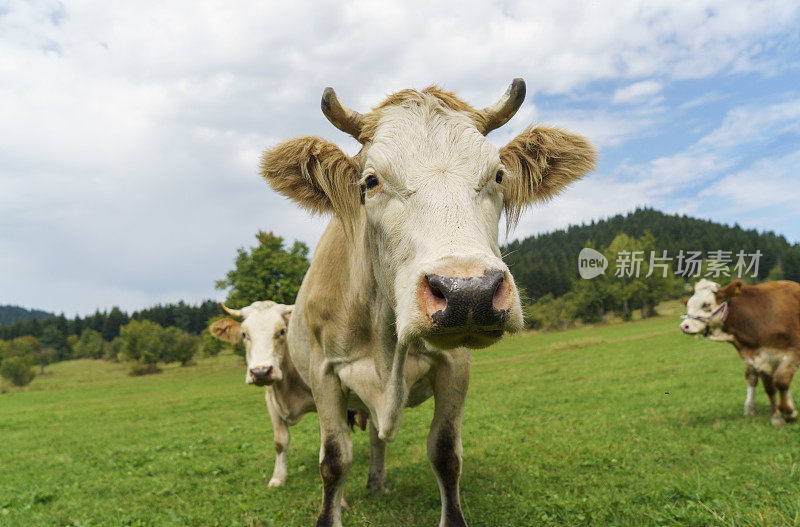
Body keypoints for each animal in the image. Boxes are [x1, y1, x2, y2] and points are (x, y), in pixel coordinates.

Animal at [260, 78, 596, 527]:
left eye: (498, 175)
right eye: (370, 181)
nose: (469, 292)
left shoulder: (456, 366)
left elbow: (445, 454)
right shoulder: (323, 371)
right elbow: (333, 459)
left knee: (377, 439)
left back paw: (377, 483)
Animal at [680, 278, 800, 426]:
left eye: (706, 305)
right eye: (688, 305)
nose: (684, 326)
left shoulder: (793, 351)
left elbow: (781, 381)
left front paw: (789, 413)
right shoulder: (761, 358)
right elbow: (770, 388)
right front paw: (777, 417)